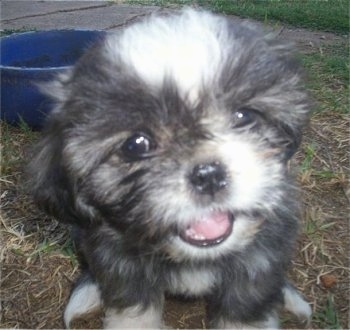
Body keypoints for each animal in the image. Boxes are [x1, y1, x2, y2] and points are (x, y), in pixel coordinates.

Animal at [28, 9, 312, 328]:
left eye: (244, 116)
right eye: (136, 144)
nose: (208, 175)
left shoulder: (260, 262)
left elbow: (245, 308)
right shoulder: (120, 263)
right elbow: (133, 307)